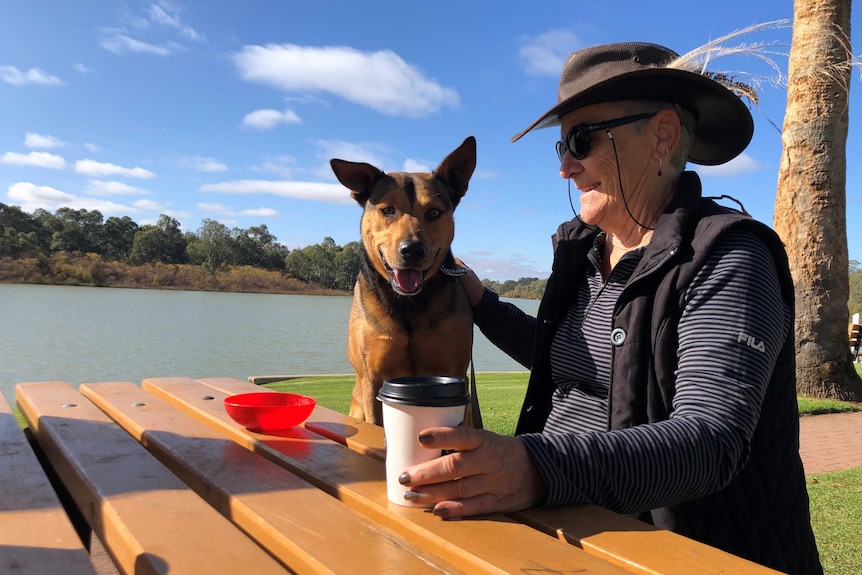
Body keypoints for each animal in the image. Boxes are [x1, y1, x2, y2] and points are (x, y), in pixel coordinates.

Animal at [330, 137, 482, 428]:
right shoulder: (372, 377)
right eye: (387, 210)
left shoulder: (455, 371)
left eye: (434, 212)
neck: (408, 304)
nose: (412, 250)